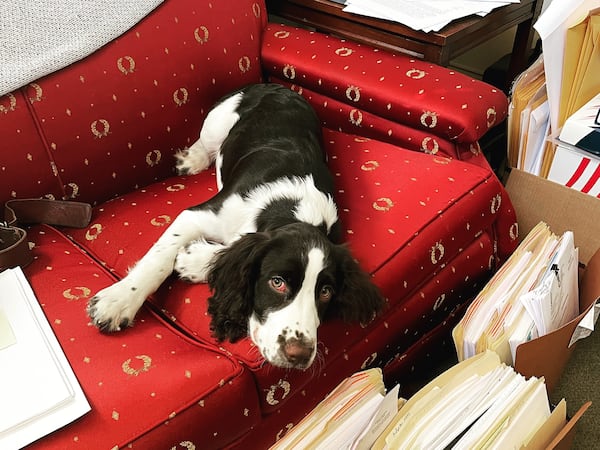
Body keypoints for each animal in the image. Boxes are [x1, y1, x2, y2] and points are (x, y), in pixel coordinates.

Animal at [86, 83, 382, 370]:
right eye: (277, 282)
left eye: (325, 292)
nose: (299, 355)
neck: (295, 212)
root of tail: (273, 86)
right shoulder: (200, 214)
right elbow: (158, 260)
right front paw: (117, 302)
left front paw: (193, 259)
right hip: (216, 122)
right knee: (207, 142)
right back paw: (192, 160)